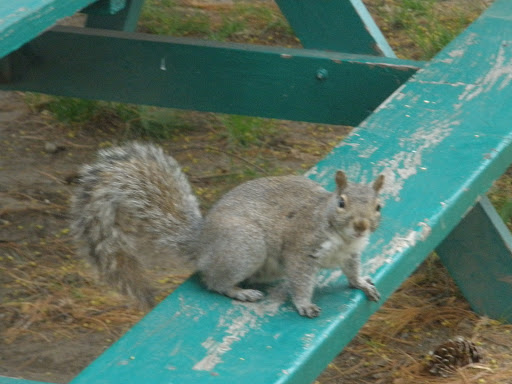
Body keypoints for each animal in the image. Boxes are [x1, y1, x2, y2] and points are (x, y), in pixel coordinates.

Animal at [71, 142, 384, 316]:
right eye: (341, 203)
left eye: (379, 206)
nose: (361, 225)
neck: (341, 237)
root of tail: (201, 244)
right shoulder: (301, 249)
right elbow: (301, 281)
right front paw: (304, 304)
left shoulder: (351, 253)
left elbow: (352, 271)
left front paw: (361, 283)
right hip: (245, 247)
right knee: (214, 281)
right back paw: (240, 292)